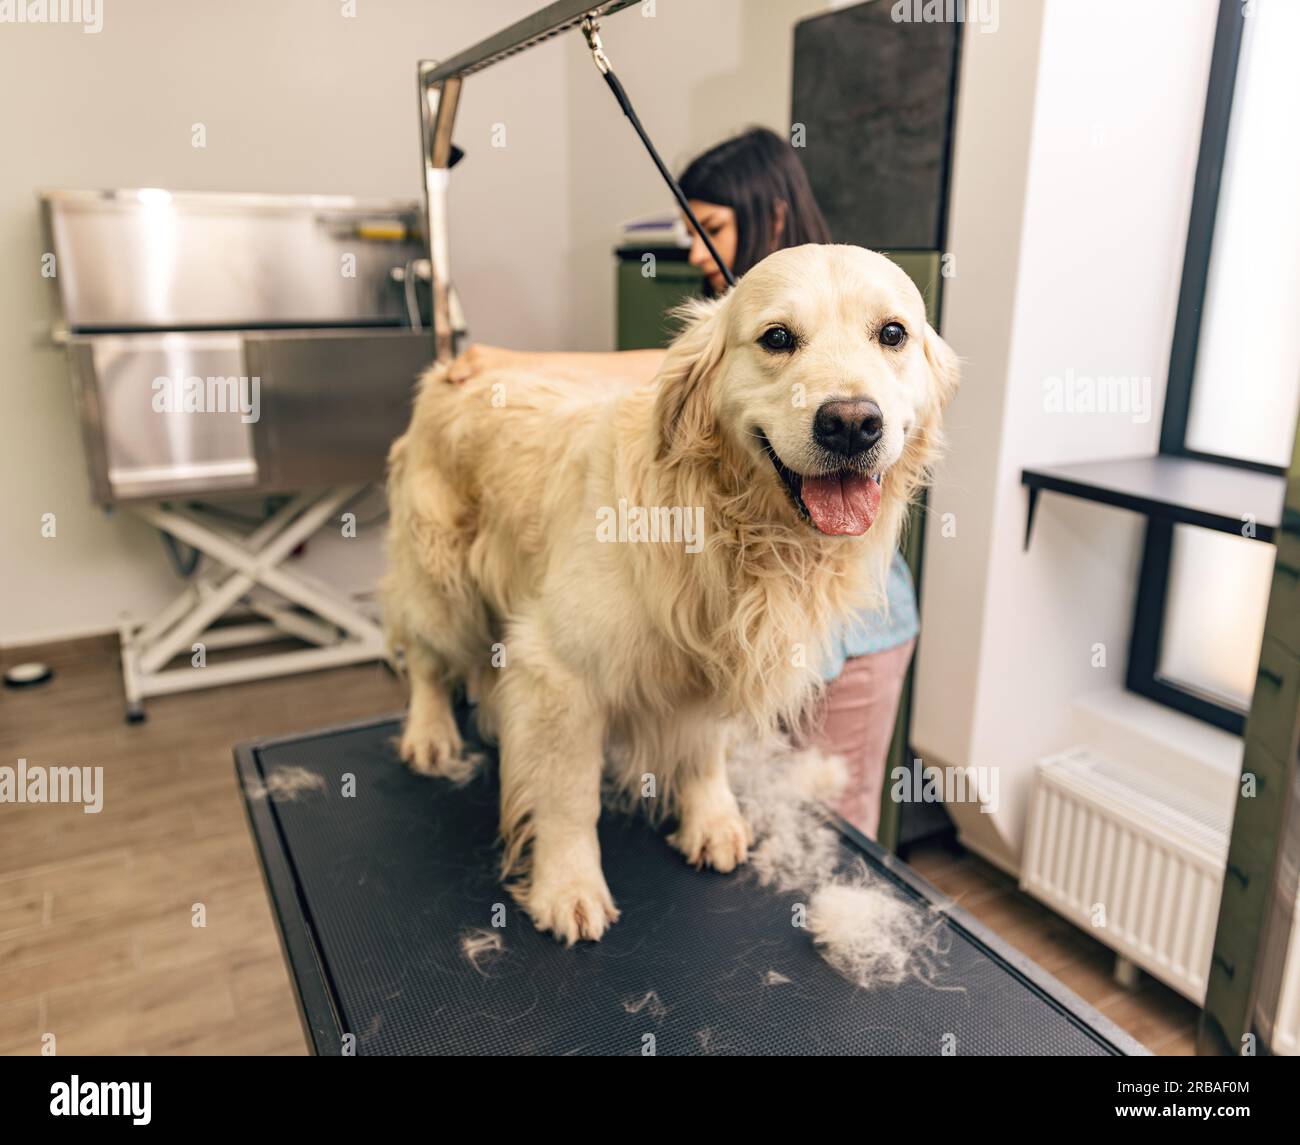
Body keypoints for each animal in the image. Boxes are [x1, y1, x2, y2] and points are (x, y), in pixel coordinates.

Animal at [379, 245, 961, 940]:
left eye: (893, 334)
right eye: (777, 338)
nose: (851, 423)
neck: (732, 524)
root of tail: (449, 372)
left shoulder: (713, 658)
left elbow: (704, 749)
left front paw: (710, 818)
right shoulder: (560, 670)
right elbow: (568, 794)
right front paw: (568, 885)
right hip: (440, 576)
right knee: (426, 656)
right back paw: (430, 732)